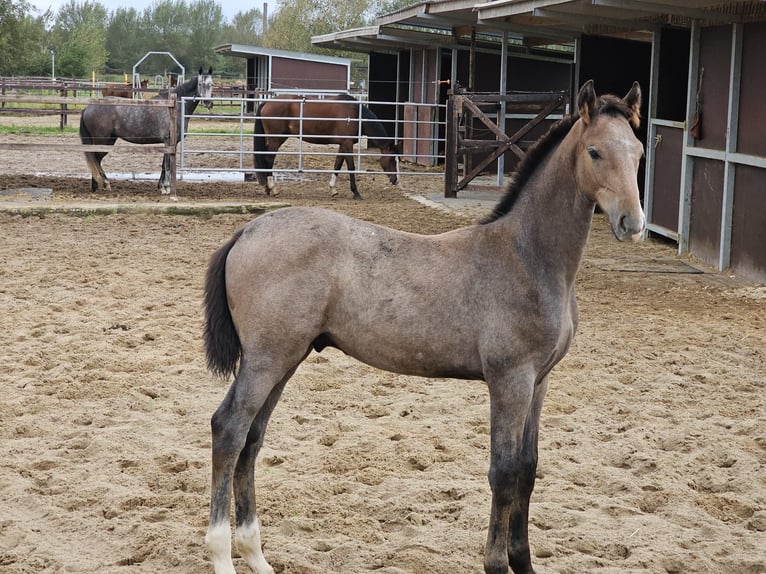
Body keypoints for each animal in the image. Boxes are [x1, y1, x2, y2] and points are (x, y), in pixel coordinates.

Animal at [80, 67, 213, 196]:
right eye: (200, 84)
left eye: (211, 84)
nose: (208, 102)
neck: (174, 107)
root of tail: (87, 107)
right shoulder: (168, 141)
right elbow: (167, 165)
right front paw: (166, 188)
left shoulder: (170, 144)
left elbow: (163, 165)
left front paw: (161, 186)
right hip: (101, 141)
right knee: (95, 159)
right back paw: (101, 184)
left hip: (109, 140)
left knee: (97, 160)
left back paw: (100, 184)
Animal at [255, 94, 402, 200]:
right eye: (391, 159)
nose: (395, 180)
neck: (355, 115)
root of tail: (266, 102)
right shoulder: (347, 144)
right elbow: (351, 167)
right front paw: (356, 192)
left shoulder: (343, 145)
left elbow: (337, 165)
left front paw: (333, 189)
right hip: (276, 140)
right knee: (268, 160)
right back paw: (273, 188)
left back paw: (268, 188)